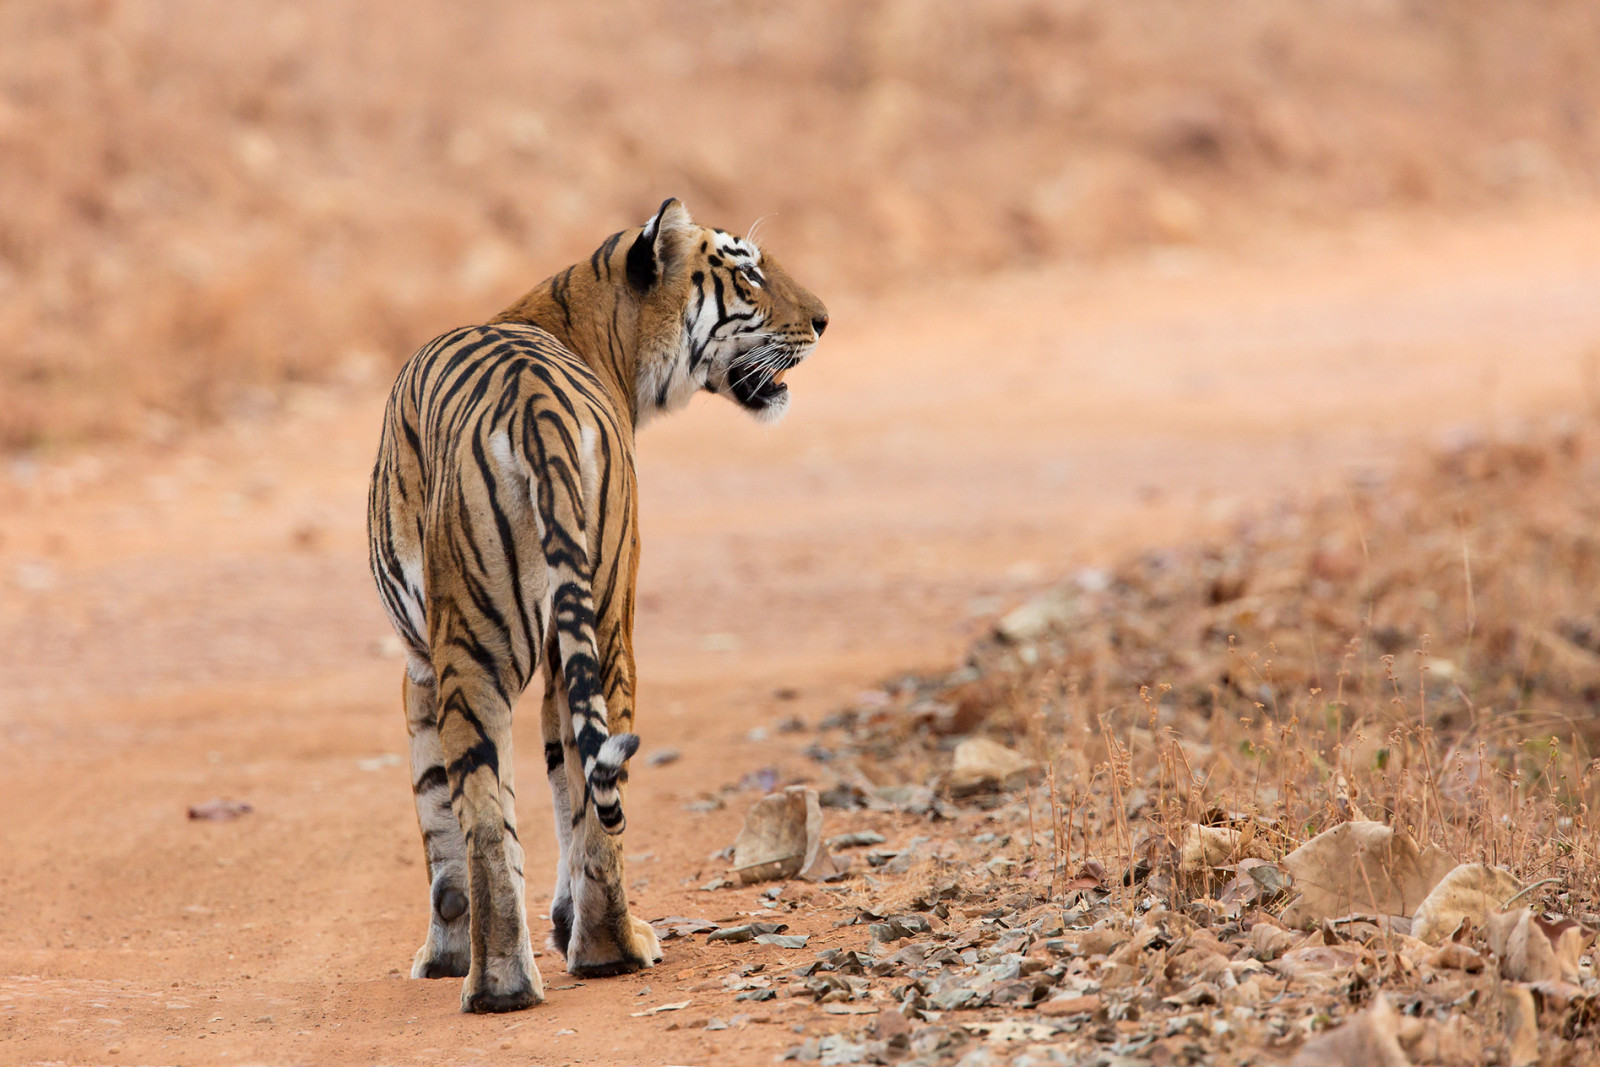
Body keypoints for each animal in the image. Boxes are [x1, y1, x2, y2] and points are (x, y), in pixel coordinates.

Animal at [366, 198, 828, 1013]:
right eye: (747, 272)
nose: (825, 321)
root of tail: (532, 408)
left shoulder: (426, 663)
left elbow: (447, 810)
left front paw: (449, 951)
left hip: (496, 643)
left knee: (493, 815)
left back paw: (509, 977)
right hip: (602, 622)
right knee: (567, 796)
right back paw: (597, 950)